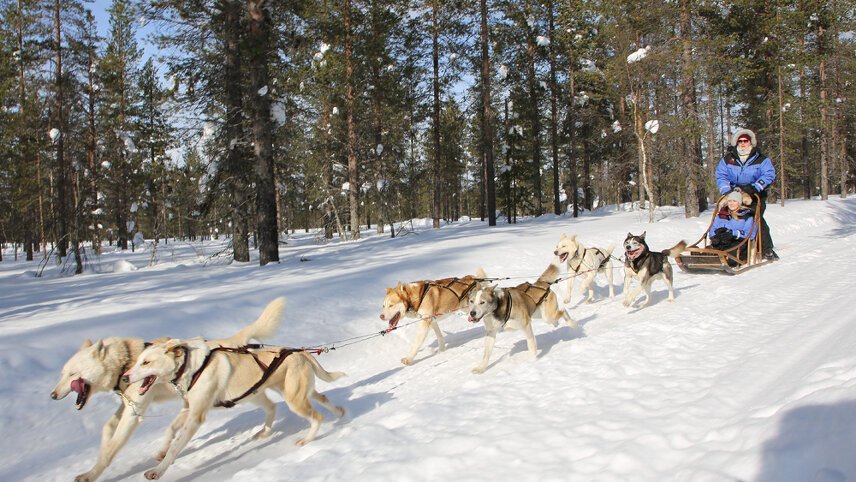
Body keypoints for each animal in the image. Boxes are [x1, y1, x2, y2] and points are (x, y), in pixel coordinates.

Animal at [51, 298, 288, 482]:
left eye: (72, 374)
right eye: (63, 373)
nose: (52, 395)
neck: (126, 362)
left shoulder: (134, 413)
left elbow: (112, 449)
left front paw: (91, 474)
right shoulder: (128, 406)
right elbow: (108, 430)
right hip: (245, 395)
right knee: (270, 405)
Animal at [124, 334, 344, 480]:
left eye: (146, 362)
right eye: (138, 361)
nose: (125, 377)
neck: (192, 367)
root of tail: (299, 353)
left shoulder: (195, 416)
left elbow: (175, 447)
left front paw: (158, 471)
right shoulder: (188, 409)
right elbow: (170, 431)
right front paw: (161, 452)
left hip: (294, 399)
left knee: (317, 417)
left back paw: (307, 439)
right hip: (277, 393)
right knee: (310, 400)